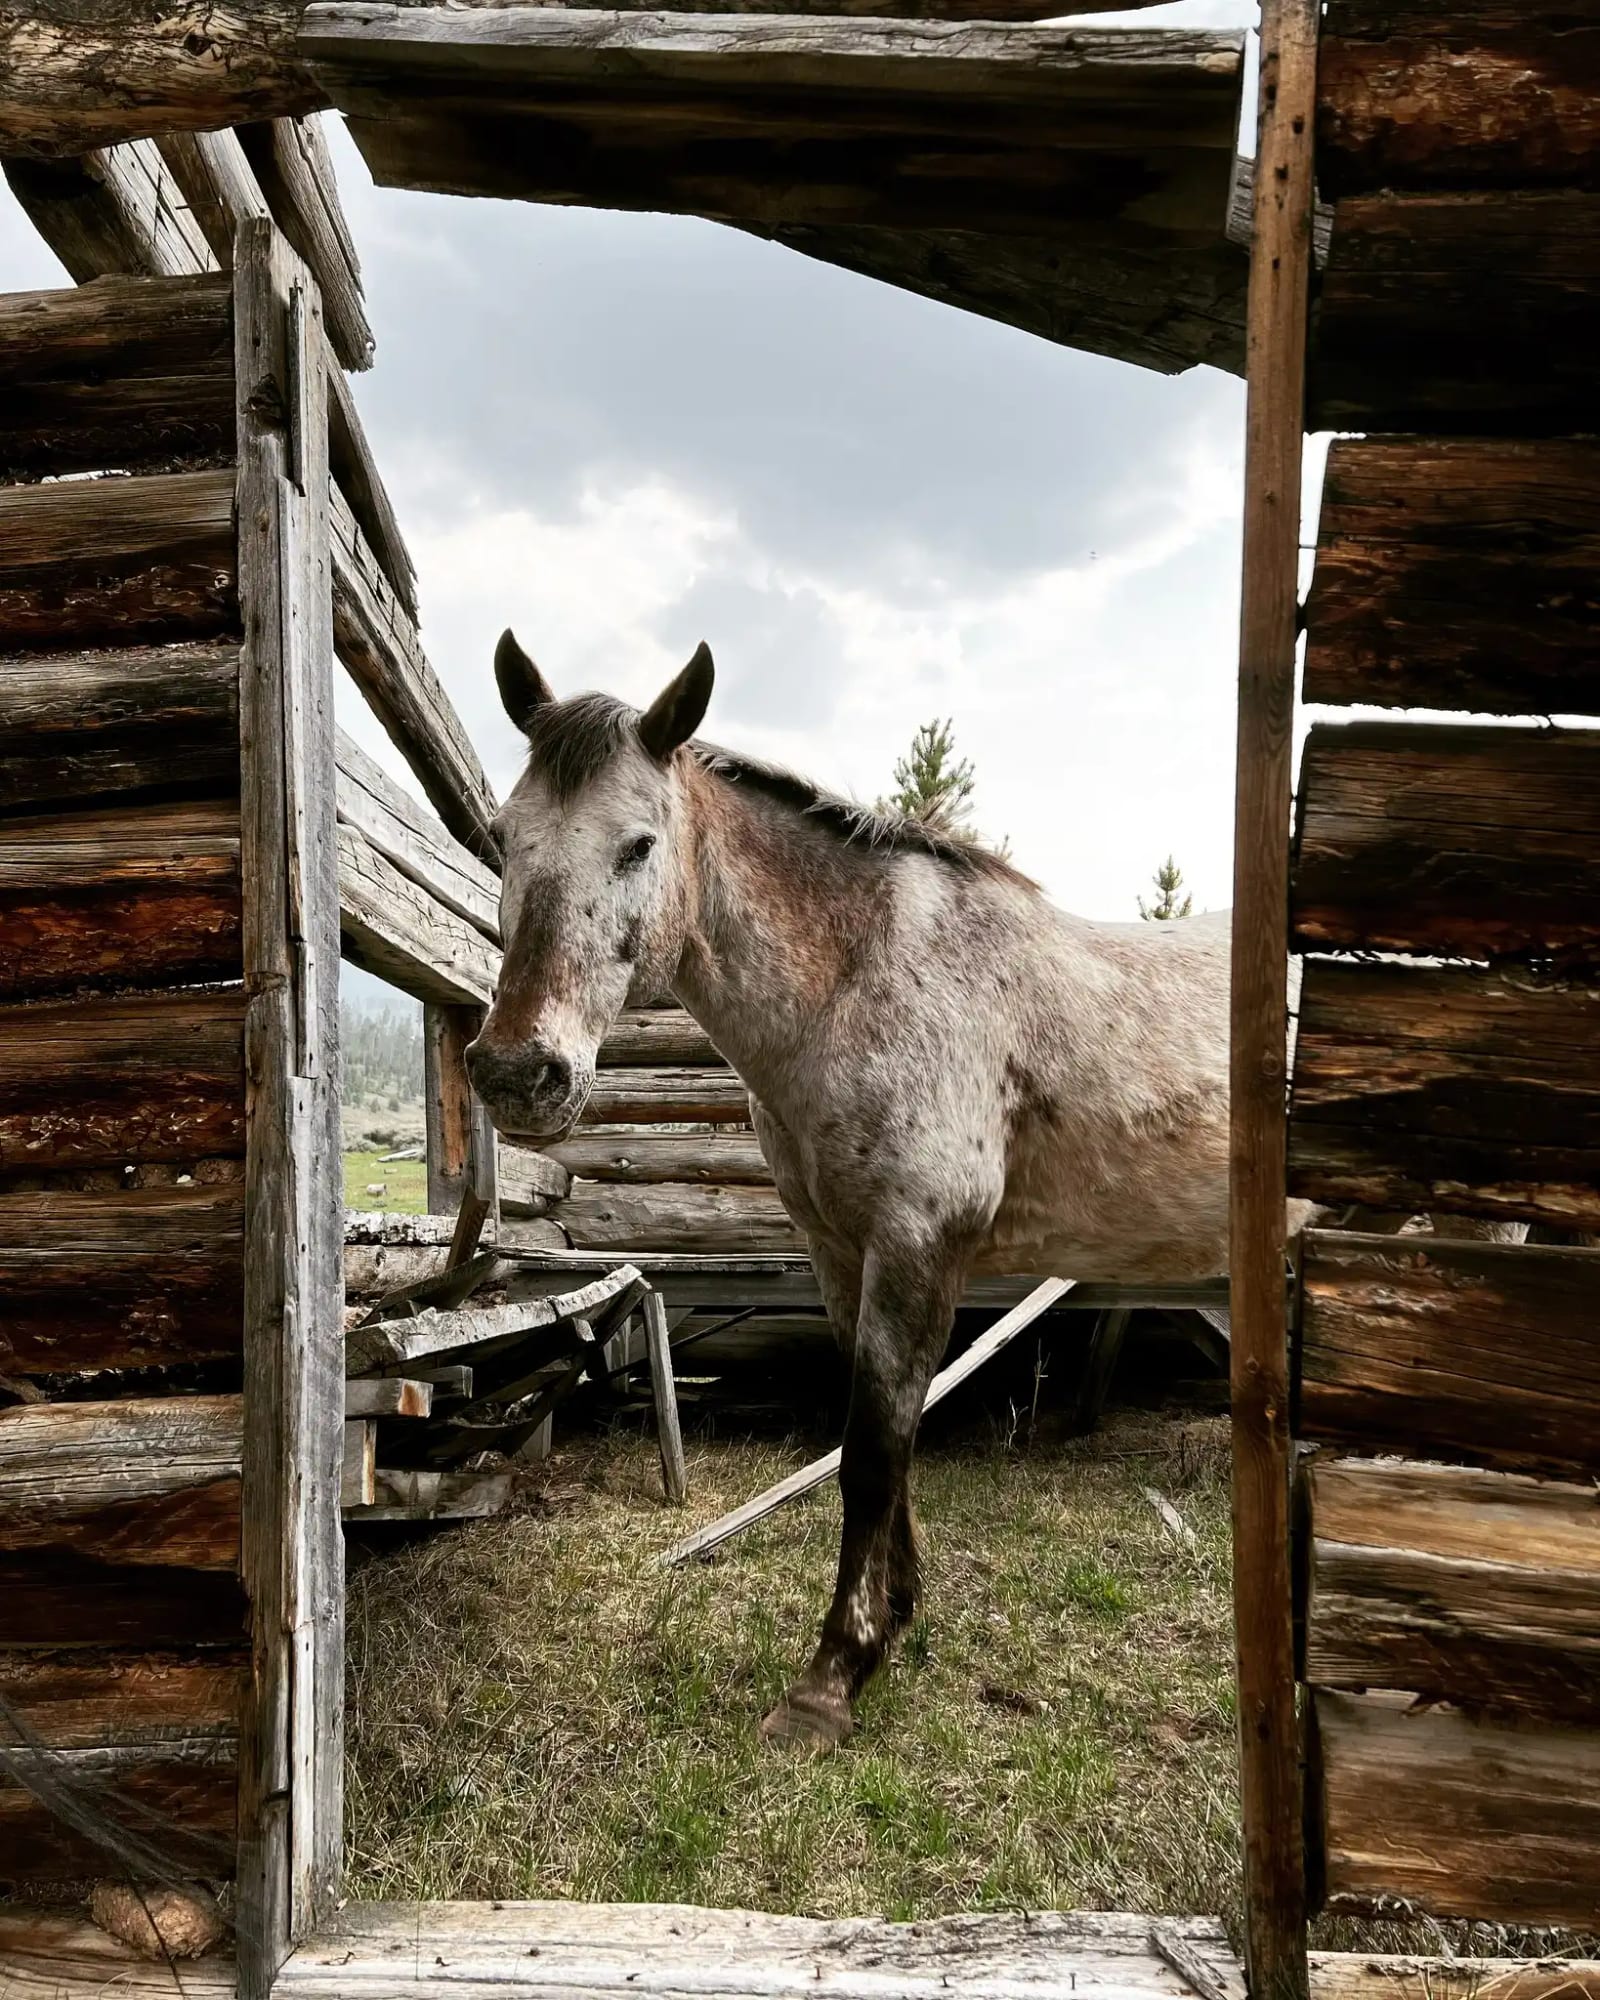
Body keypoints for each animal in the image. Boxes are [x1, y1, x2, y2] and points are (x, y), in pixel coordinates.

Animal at [468, 634, 1248, 1750]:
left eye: (638, 845)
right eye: (504, 837)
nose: (517, 1073)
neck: (859, 980)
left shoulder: (917, 1248)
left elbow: (872, 1454)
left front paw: (830, 1680)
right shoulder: (843, 1255)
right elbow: (884, 1439)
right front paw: (898, 1616)